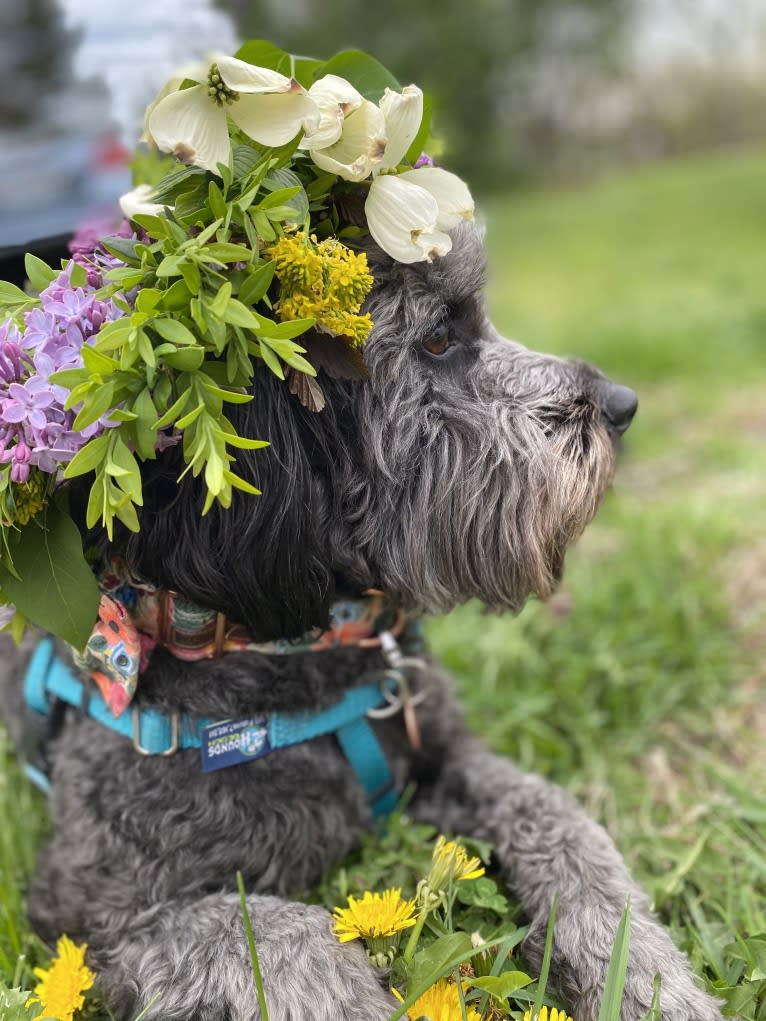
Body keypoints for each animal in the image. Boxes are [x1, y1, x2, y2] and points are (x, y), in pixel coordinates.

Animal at [0, 223, 723, 1021]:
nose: (623, 404)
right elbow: (287, 936)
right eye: (438, 337)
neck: (291, 644)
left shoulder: (448, 754)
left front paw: (651, 982)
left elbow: (562, 822)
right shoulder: (96, 910)